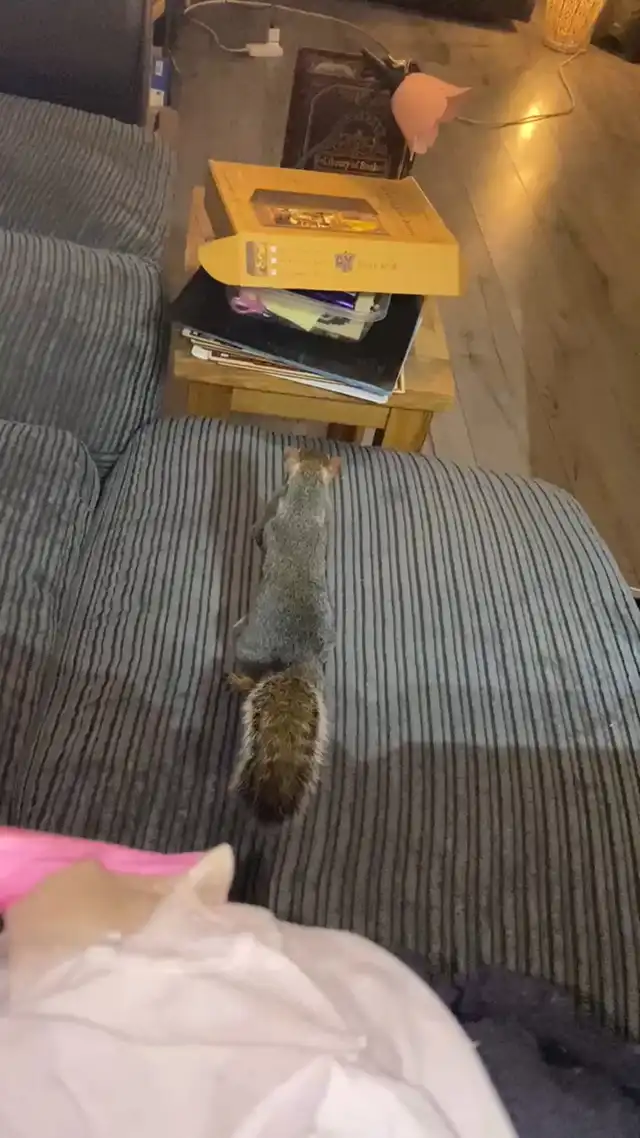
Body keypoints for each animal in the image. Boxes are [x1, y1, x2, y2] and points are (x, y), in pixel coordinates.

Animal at [229, 447, 340, 823]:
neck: (306, 499)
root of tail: (300, 657)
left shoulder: (273, 519)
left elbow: (261, 531)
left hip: (248, 645)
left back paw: (238, 678)